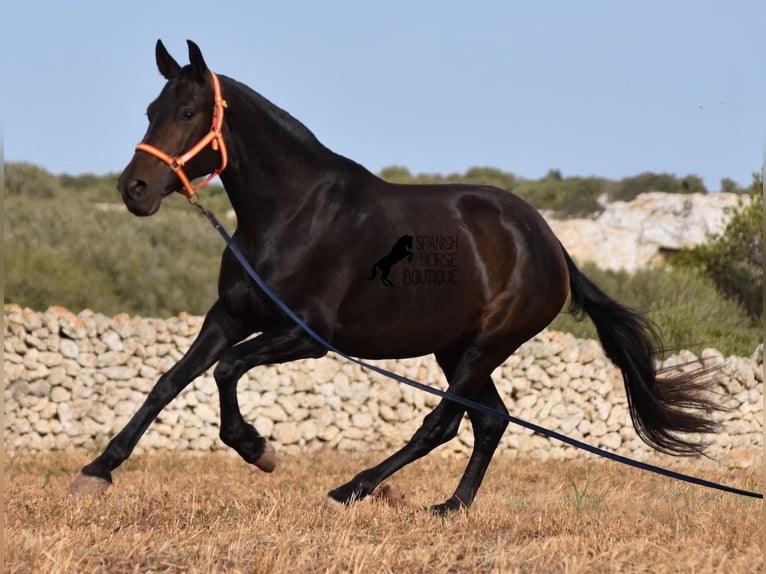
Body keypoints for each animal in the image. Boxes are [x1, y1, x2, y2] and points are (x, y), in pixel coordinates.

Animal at [69, 42, 724, 516]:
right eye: (150, 112)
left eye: (187, 113)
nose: (134, 190)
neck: (293, 213)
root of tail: (551, 245)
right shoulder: (229, 317)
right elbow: (169, 382)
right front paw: (97, 471)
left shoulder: (306, 336)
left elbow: (226, 372)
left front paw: (259, 450)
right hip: (455, 347)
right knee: (489, 421)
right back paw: (450, 507)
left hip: (487, 345)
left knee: (443, 422)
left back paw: (351, 489)